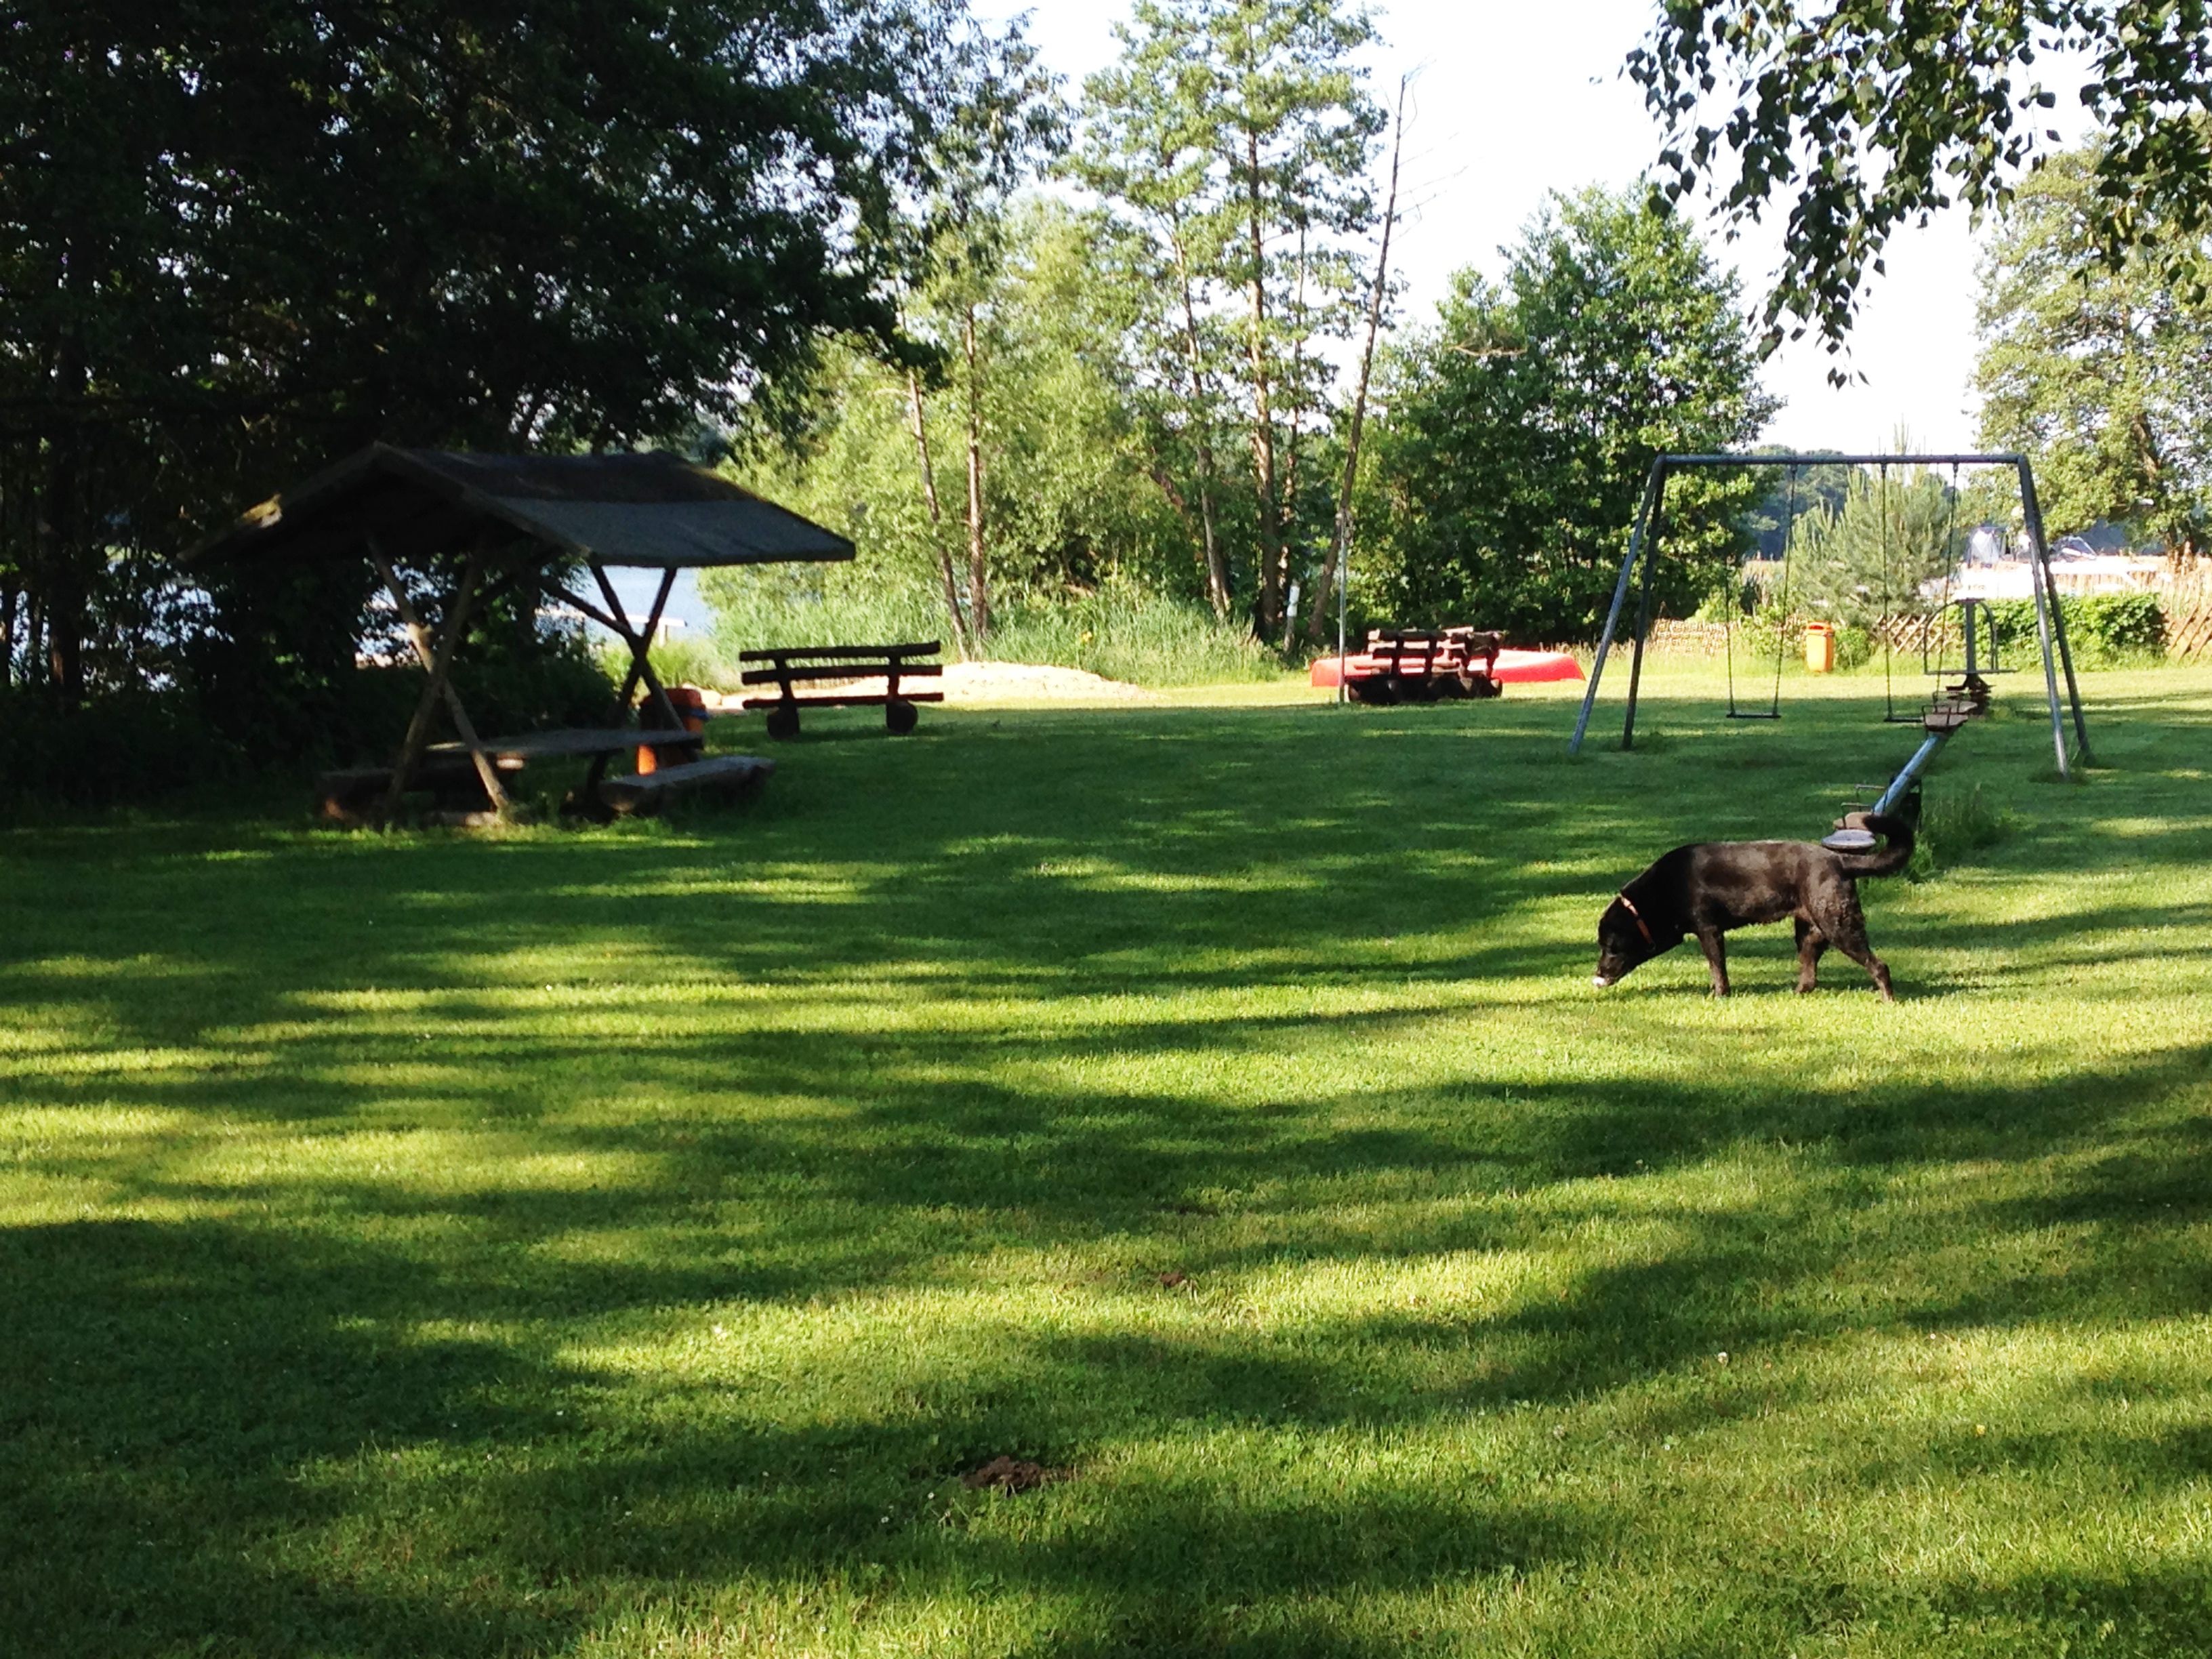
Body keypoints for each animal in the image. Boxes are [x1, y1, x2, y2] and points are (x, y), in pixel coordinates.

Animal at [1593, 814, 1920, 1000]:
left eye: (1610, 946)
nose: (1597, 974)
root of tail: (1840, 861)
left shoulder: (1709, 930)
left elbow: (1718, 968)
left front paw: (1720, 996)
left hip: (1840, 926)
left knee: (1879, 965)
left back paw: (1888, 999)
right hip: (1808, 932)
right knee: (1810, 976)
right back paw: (1795, 994)